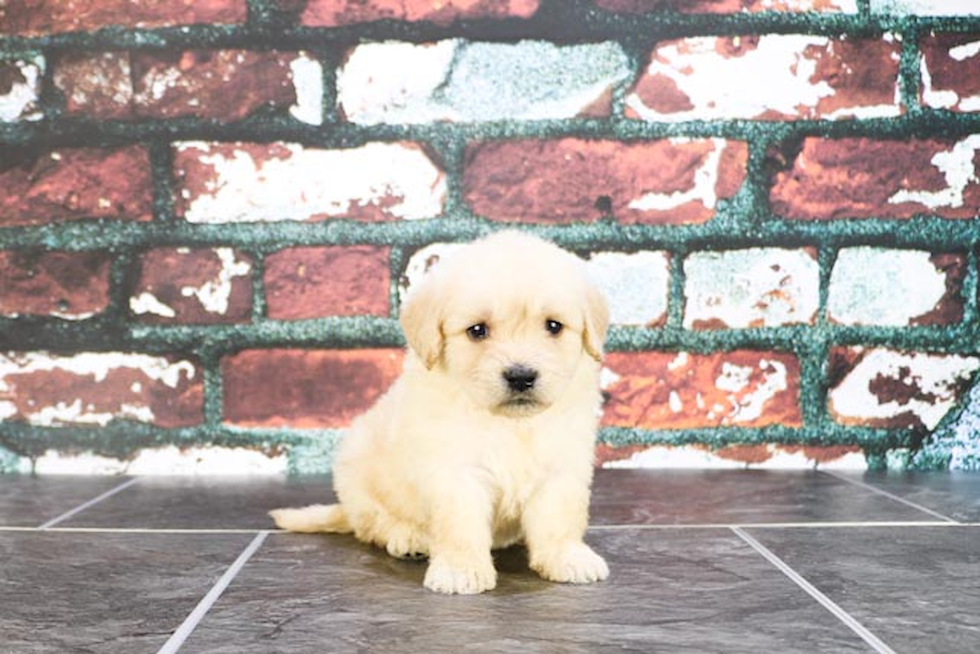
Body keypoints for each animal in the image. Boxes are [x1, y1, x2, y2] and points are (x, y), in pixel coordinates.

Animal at [272, 231, 608, 596]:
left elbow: (560, 517)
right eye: (477, 330)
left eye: (554, 326)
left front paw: (568, 556)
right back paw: (408, 538)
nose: (521, 376)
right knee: (373, 523)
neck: (508, 423)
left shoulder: (562, 465)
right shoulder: (455, 471)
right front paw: (461, 570)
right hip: (355, 471)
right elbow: (459, 523)